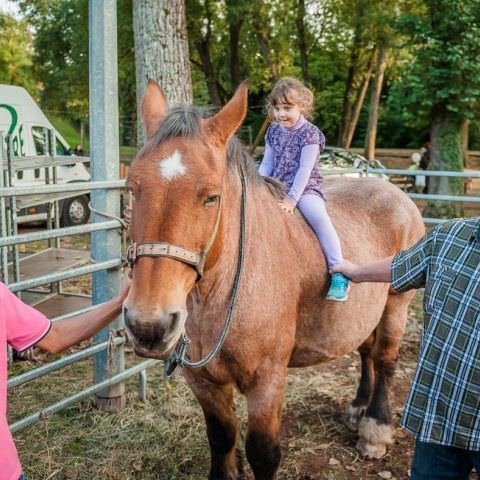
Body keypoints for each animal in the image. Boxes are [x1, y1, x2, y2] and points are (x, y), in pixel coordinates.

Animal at [124, 80, 424, 478]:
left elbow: (264, 452)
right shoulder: (202, 380)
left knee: (386, 359)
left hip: (396, 304)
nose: (148, 325)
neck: (222, 295)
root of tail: (393, 190)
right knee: (365, 351)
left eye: (211, 197)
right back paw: (359, 408)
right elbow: (221, 437)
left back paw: (375, 428)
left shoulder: (267, 380)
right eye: (132, 188)